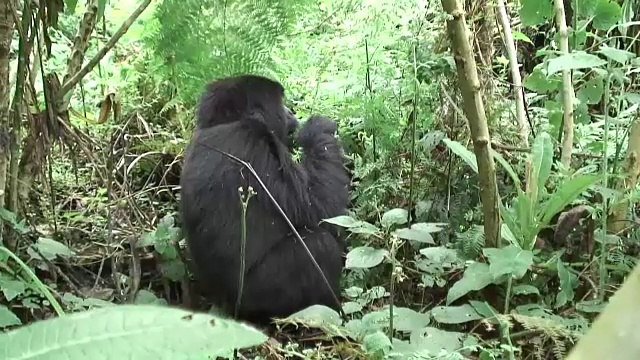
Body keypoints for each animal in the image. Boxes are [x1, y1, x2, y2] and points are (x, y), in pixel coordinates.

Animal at [179, 74, 350, 326]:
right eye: (280, 102)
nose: (290, 112)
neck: (220, 122)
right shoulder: (253, 142)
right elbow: (318, 208)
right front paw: (318, 129)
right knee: (319, 246)